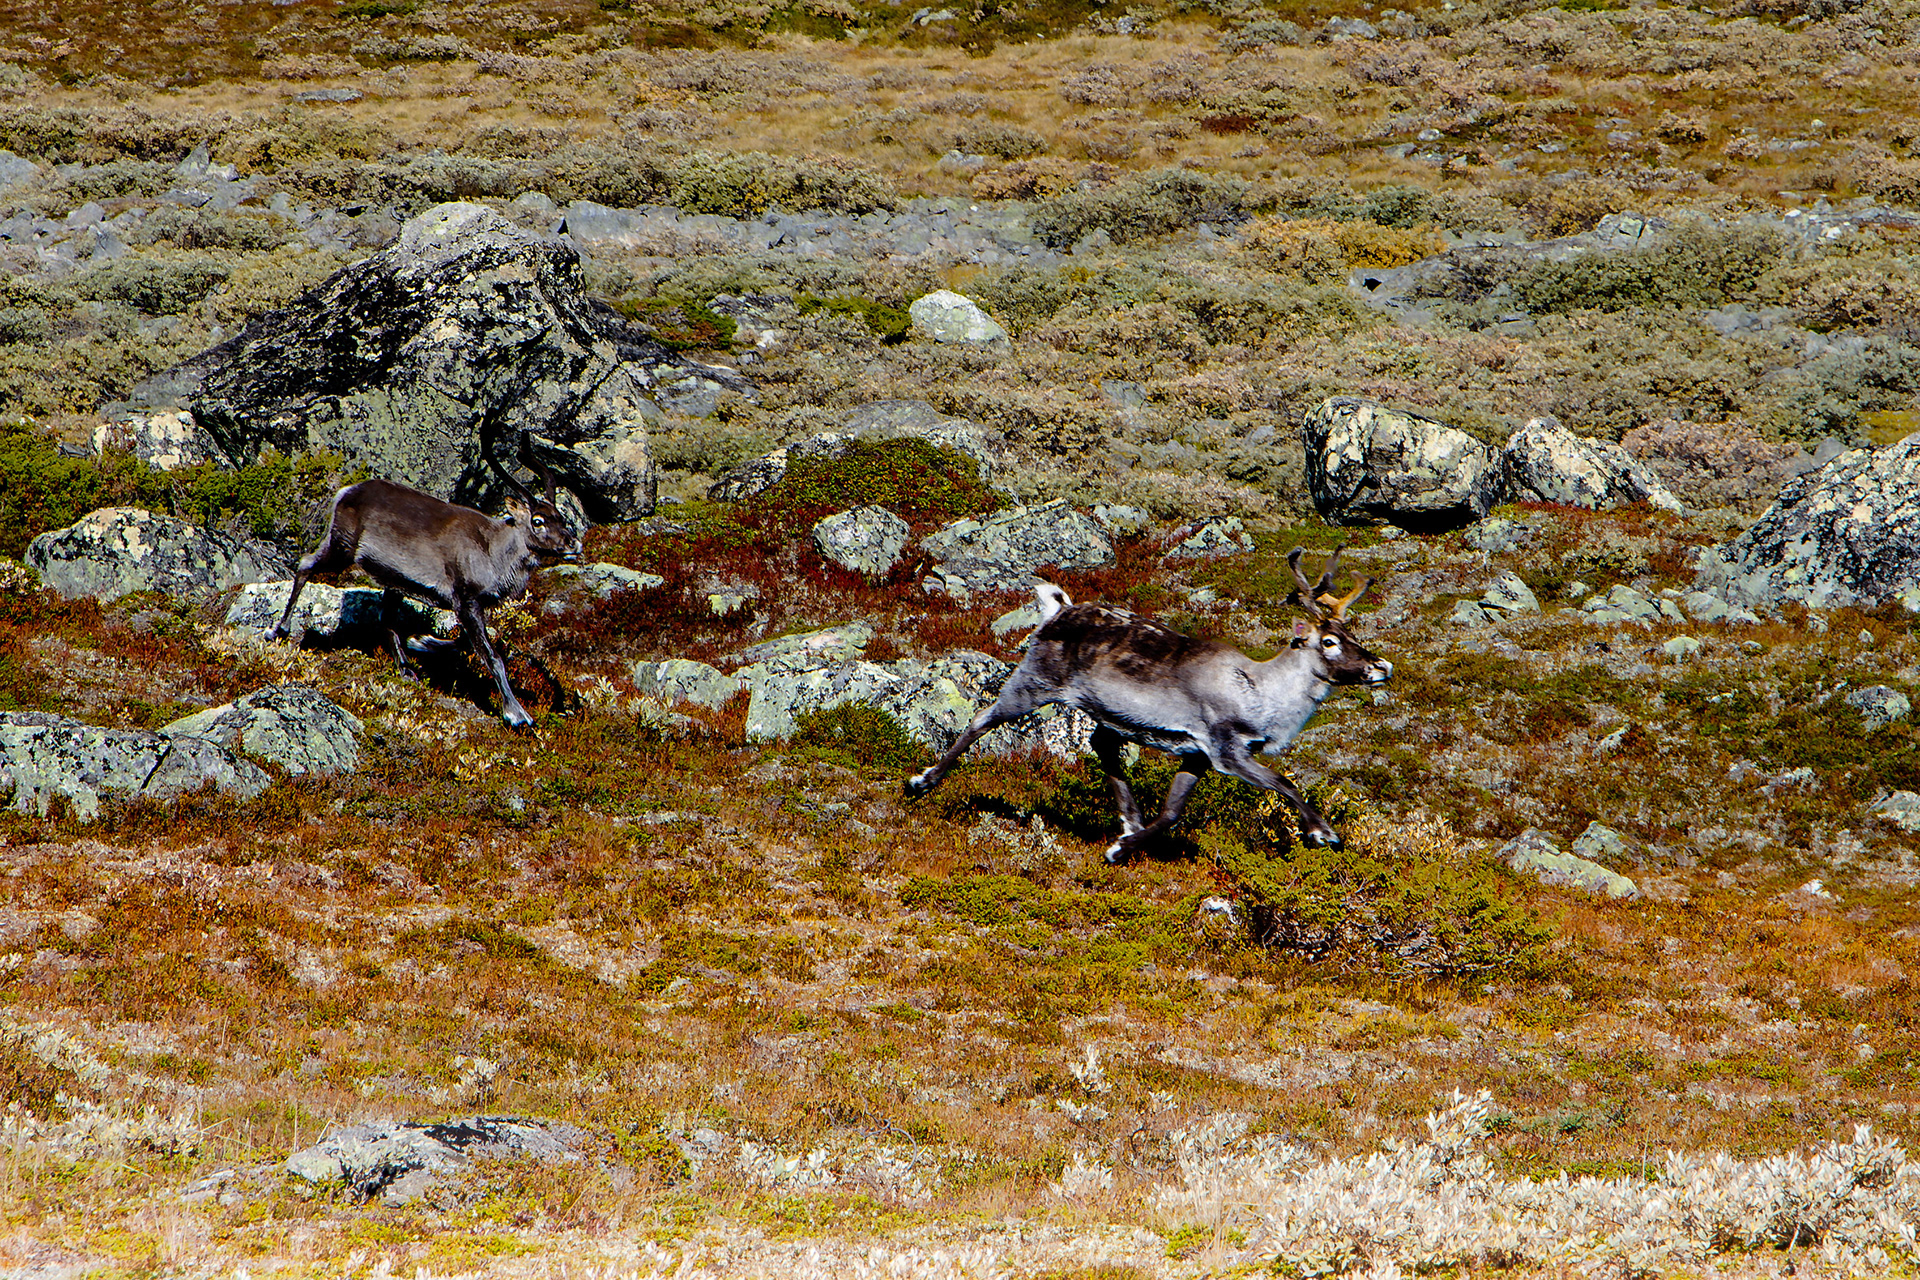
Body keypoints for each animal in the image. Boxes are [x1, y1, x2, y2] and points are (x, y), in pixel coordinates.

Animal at [269, 434, 582, 729]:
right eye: (538, 520)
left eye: (561, 517)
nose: (574, 543)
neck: (495, 553)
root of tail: (345, 491)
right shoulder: (465, 597)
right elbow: (492, 656)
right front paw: (517, 714)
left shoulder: (472, 604)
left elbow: (467, 644)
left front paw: (421, 641)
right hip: (342, 546)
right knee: (305, 564)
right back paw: (279, 630)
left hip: (390, 576)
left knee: (386, 617)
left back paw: (407, 669)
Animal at [904, 547, 1392, 862]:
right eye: (1328, 641)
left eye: (1352, 635)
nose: (1381, 666)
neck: (1263, 696)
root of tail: (1055, 609)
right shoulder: (1225, 749)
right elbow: (1285, 782)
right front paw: (1323, 833)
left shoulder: (1195, 753)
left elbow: (1173, 813)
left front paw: (1121, 848)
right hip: (1035, 680)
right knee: (982, 718)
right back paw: (921, 782)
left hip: (1103, 711)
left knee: (1100, 744)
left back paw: (1129, 822)